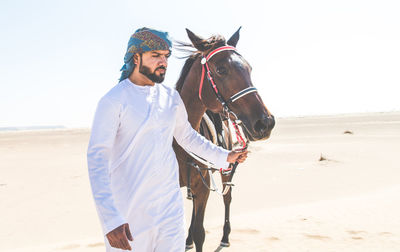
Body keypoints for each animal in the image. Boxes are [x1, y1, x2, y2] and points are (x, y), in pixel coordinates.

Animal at [172, 28, 276, 252]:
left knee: (227, 198)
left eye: (249, 68)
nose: (266, 122)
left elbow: (200, 232)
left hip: (226, 170)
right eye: (221, 70)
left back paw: (225, 237)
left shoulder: (204, 188)